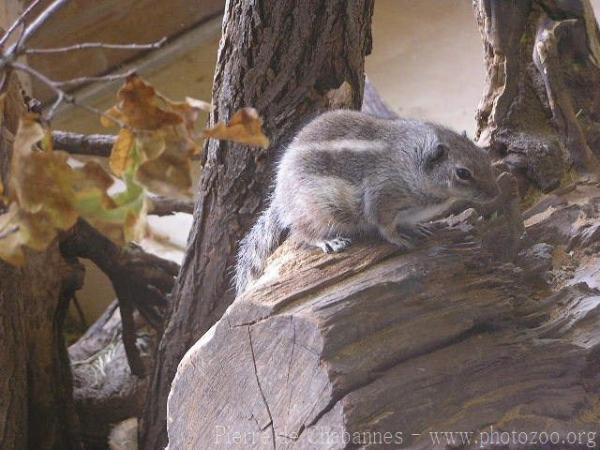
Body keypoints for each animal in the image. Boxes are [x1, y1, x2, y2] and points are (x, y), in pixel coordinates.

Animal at [237, 110, 500, 294]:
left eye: (483, 154)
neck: (409, 161)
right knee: (301, 231)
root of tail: (280, 197)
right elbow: (384, 227)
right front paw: (400, 239)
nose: (494, 194)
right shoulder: (380, 198)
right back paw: (328, 241)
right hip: (317, 210)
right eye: (463, 173)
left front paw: (419, 227)